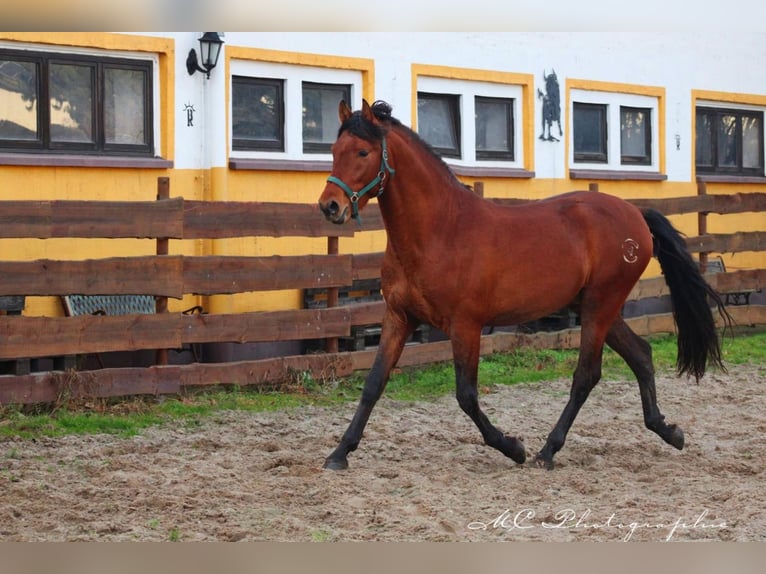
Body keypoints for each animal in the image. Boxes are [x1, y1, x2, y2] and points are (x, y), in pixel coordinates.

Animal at [318, 99, 732, 472]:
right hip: (596, 307)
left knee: (586, 375)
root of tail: (635, 214)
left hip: (601, 305)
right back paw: (669, 431)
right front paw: (339, 454)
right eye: (334, 151)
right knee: (641, 355)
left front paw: (513, 447)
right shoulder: (399, 317)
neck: (440, 230)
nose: (330, 206)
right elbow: (373, 384)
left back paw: (547, 452)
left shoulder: (465, 326)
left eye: (363, 151)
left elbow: (466, 395)